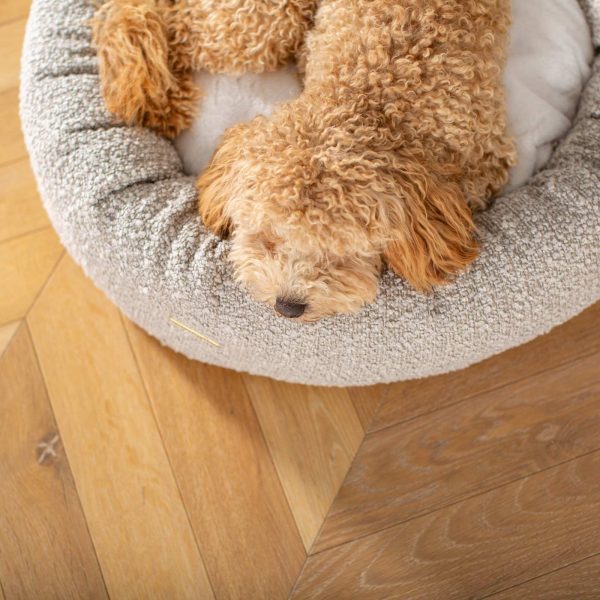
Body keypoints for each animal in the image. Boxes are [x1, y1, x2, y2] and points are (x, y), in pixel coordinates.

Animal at [92, 0, 516, 324]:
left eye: (341, 253)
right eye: (268, 238)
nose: (288, 307)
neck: (372, 98)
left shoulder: (482, 159)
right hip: (265, 22)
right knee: (150, 14)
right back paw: (149, 92)